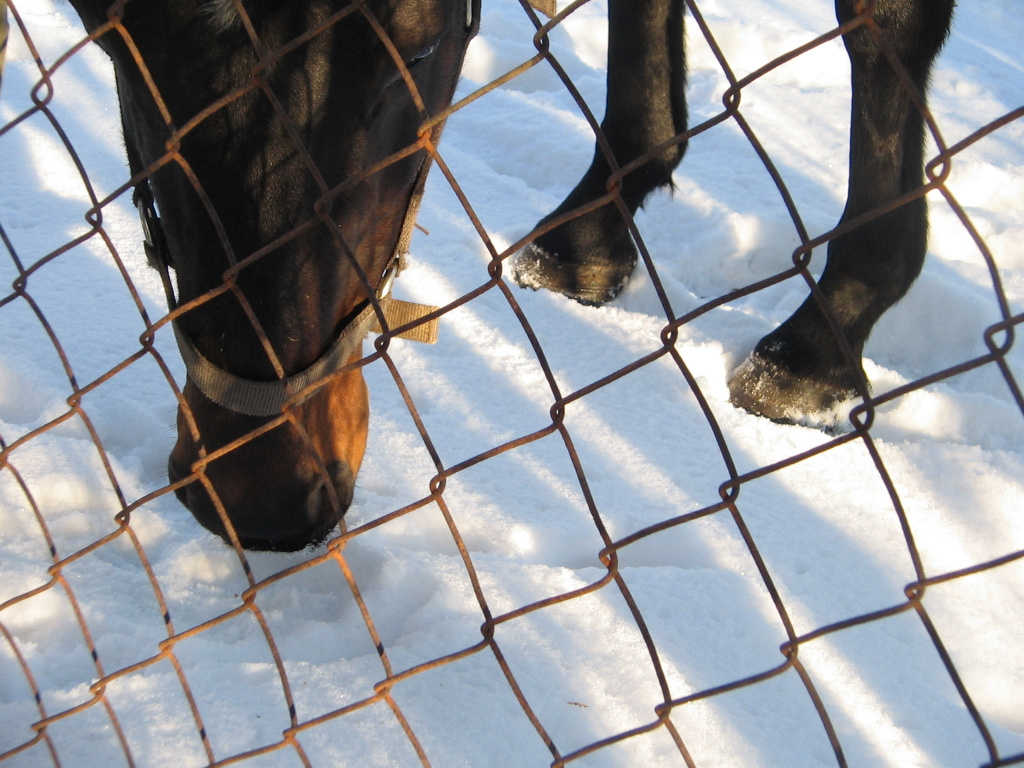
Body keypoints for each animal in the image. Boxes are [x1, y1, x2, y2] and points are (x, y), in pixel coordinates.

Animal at [66, 0, 950, 552]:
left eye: (419, 51)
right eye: (110, 41)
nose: (254, 494)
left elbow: (883, 30)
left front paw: (825, 335)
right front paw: (590, 228)